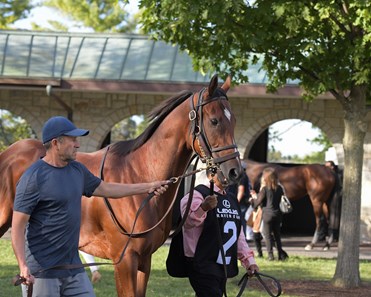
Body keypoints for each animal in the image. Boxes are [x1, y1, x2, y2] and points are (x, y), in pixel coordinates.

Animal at [0, 75, 244, 294]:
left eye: (234, 121)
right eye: (214, 121)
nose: (234, 172)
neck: (140, 171)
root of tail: (8, 155)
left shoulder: (144, 260)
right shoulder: (124, 260)